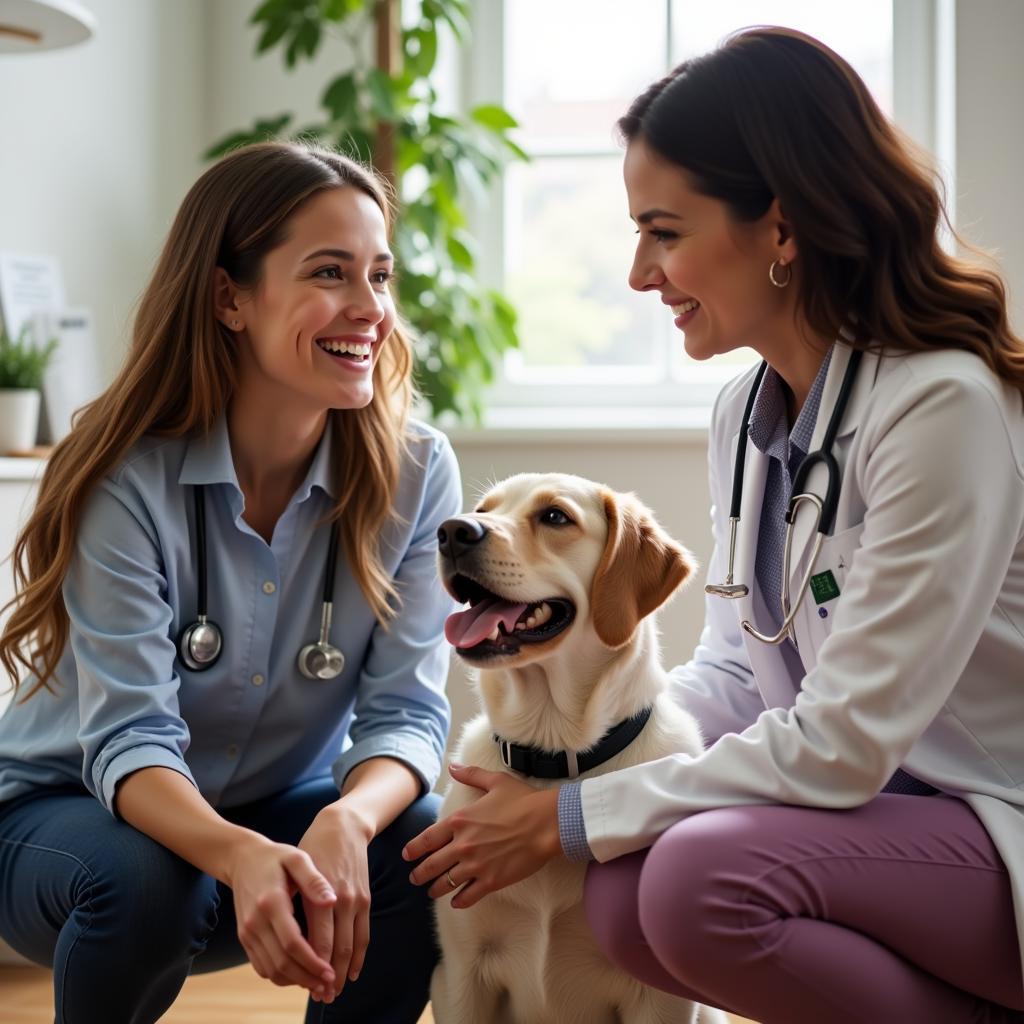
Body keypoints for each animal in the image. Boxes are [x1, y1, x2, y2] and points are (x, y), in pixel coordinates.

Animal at [432, 475, 729, 1024]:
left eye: (555, 517)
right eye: (483, 510)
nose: (451, 532)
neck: (554, 755)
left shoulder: (660, 1001)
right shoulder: (463, 976)